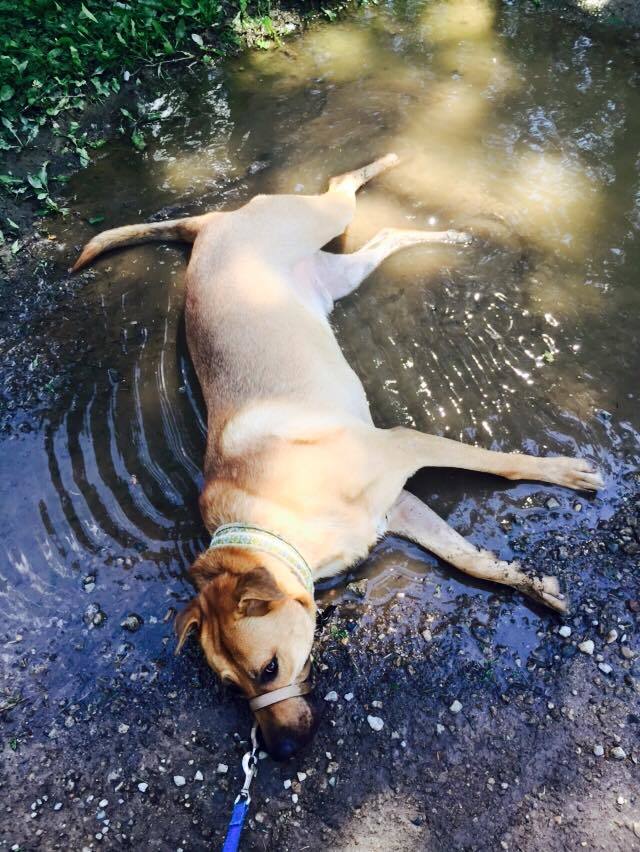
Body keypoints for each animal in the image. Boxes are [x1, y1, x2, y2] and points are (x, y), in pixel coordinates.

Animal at [72, 156, 604, 764]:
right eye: (231, 688)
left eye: (269, 668)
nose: (279, 751)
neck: (275, 518)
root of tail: (210, 225)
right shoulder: (397, 508)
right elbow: (471, 561)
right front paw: (530, 585)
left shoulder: (405, 446)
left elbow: (501, 465)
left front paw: (563, 473)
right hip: (338, 274)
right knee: (388, 235)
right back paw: (446, 234)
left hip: (322, 218)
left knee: (342, 187)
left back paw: (391, 164)